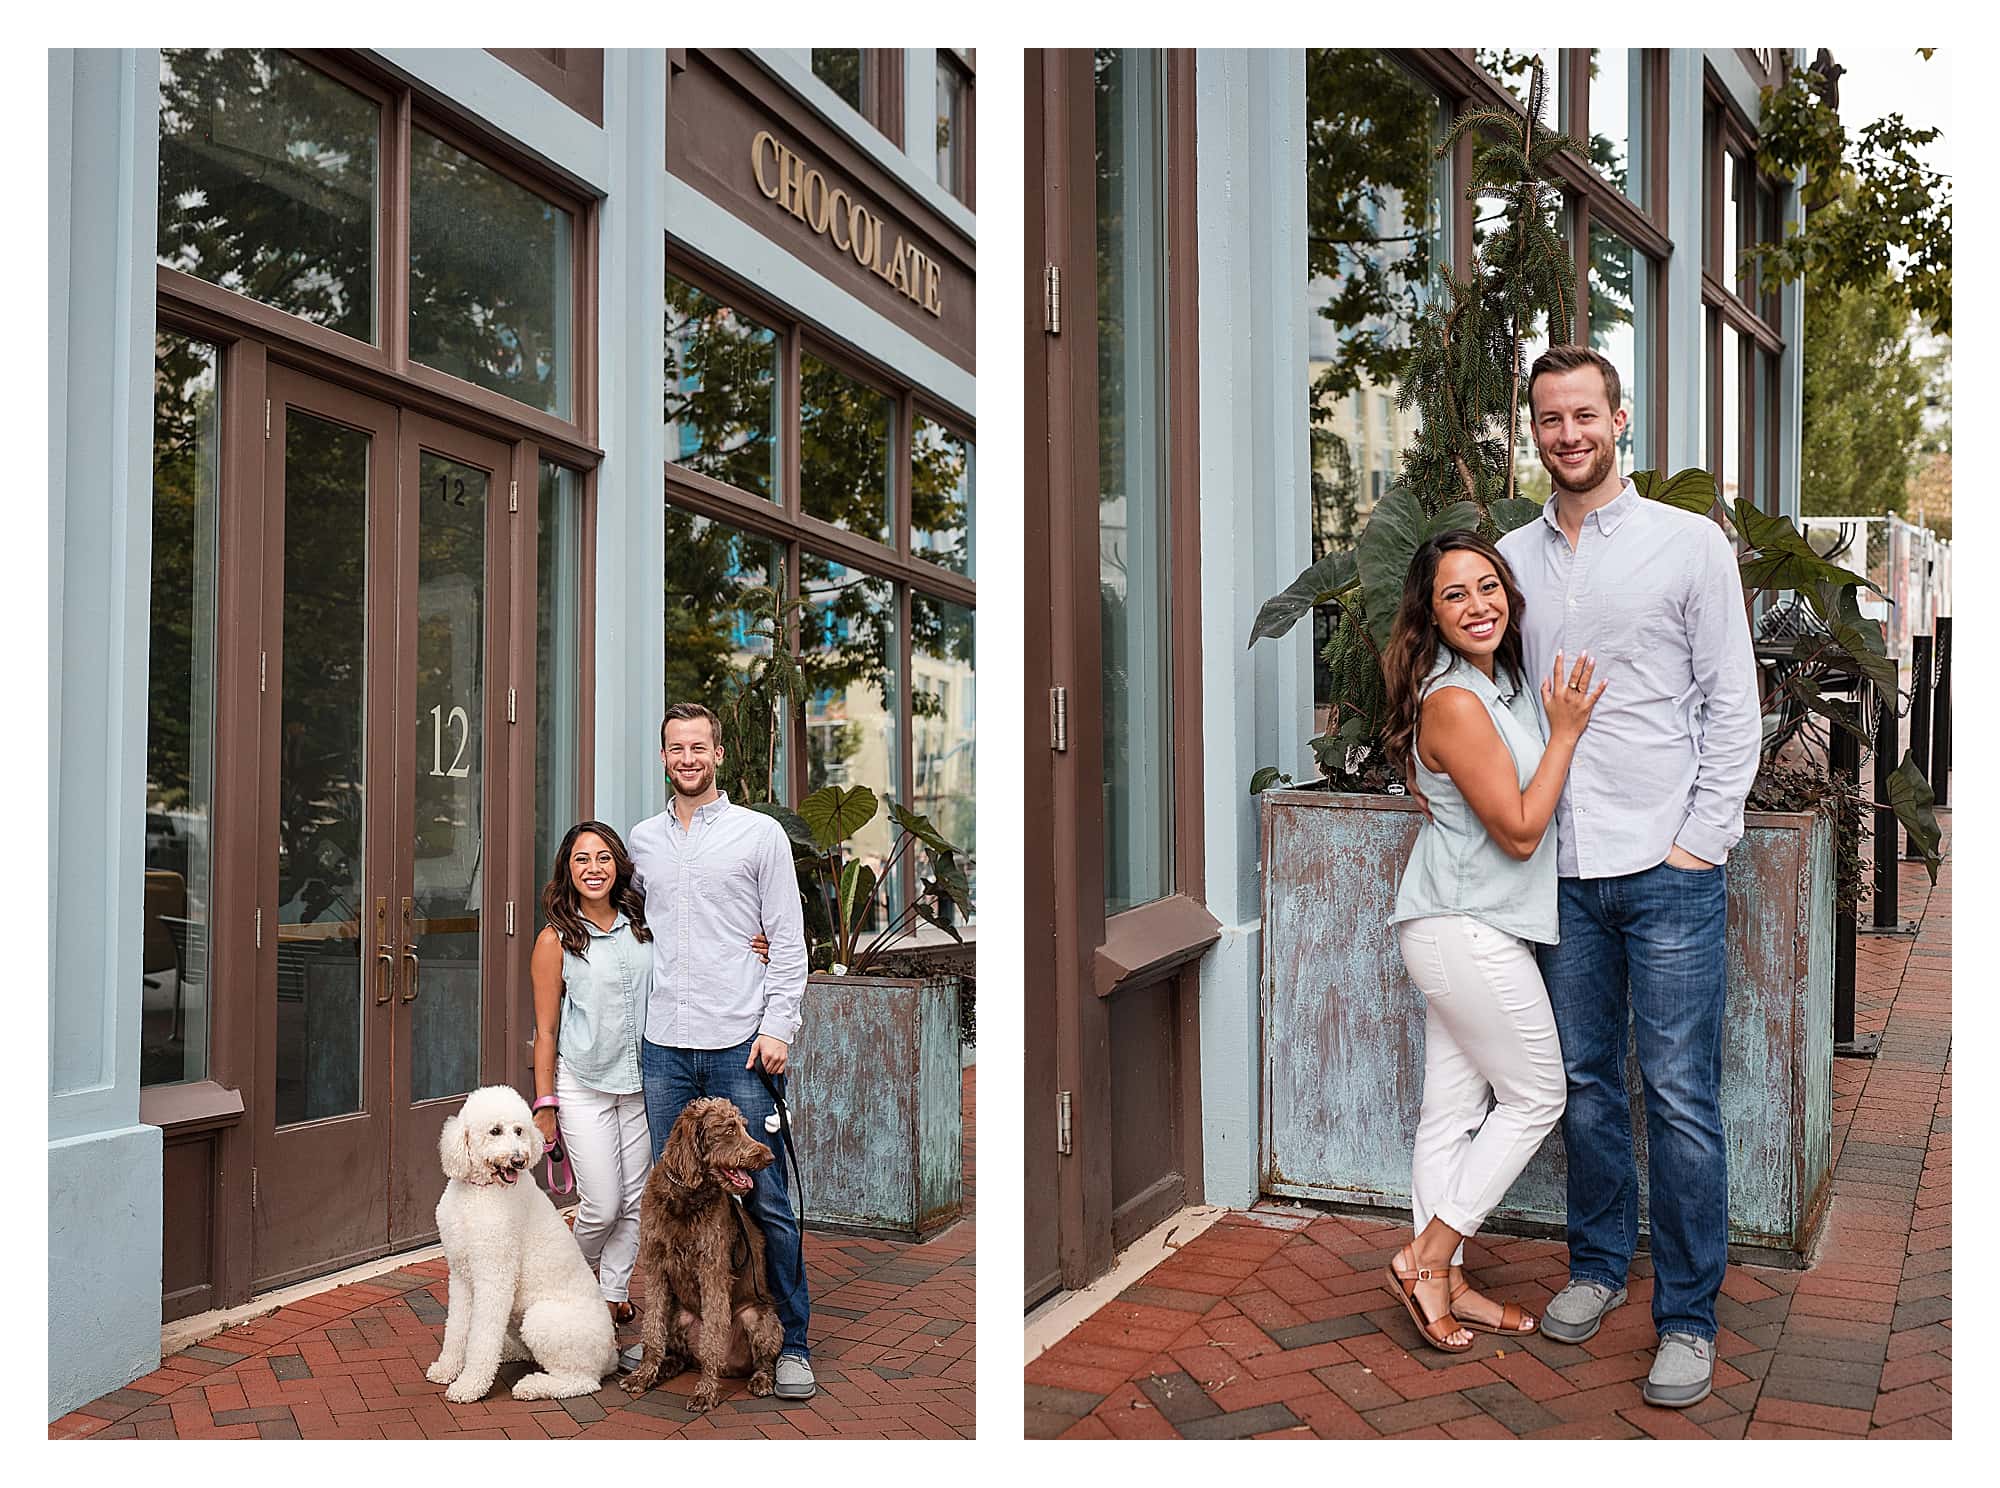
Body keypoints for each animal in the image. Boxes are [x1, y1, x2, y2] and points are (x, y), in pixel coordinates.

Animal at [420, 1088, 608, 1400]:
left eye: (519, 1130)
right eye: (495, 1131)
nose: (519, 1159)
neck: (480, 1191)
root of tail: (612, 1353)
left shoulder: (495, 1276)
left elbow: (482, 1336)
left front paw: (470, 1385)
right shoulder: (461, 1275)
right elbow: (457, 1328)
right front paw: (448, 1369)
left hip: (542, 1320)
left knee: (581, 1381)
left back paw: (532, 1386)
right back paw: (507, 1353)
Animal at [620, 1096, 784, 1408]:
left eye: (743, 1127)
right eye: (730, 1129)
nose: (769, 1157)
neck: (686, 1196)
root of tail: (732, 1368)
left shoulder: (712, 1272)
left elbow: (711, 1342)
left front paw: (706, 1392)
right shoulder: (655, 1268)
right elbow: (652, 1329)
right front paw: (643, 1375)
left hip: (758, 1317)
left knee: (762, 1361)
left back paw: (761, 1380)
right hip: (679, 1316)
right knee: (680, 1356)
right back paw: (664, 1368)